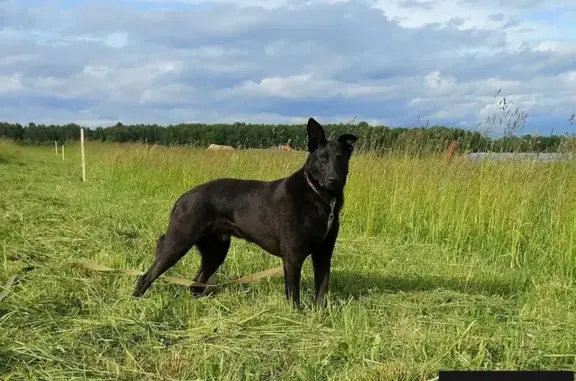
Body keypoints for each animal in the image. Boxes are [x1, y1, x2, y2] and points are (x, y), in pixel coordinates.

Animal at [134, 117, 358, 308]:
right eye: (322, 158)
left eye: (340, 158)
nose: (333, 180)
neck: (321, 198)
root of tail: (184, 197)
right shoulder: (293, 256)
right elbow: (294, 296)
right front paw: (296, 318)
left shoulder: (324, 254)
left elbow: (322, 290)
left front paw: (320, 315)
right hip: (178, 242)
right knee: (146, 276)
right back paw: (136, 302)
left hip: (216, 251)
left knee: (195, 283)